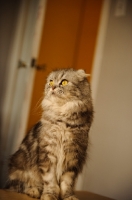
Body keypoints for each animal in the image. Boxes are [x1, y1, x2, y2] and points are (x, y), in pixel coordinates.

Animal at [5, 69, 93, 200]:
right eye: (51, 82)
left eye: (64, 82)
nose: (52, 87)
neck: (62, 120)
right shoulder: (47, 154)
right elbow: (50, 180)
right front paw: (49, 195)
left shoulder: (73, 155)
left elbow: (67, 183)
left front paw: (68, 196)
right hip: (18, 167)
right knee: (20, 186)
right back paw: (34, 191)